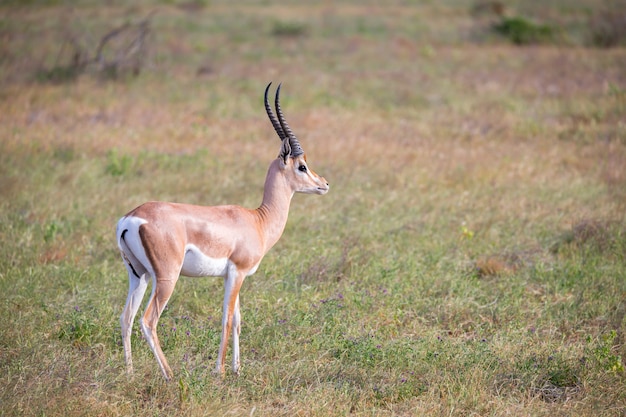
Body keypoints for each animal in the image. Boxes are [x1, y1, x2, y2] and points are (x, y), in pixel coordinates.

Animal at [116, 83, 326, 378]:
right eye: (302, 166)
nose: (324, 184)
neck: (257, 221)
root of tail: (130, 218)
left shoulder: (235, 276)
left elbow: (237, 319)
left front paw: (237, 369)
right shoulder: (236, 273)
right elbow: (226, 319)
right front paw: (221, 371)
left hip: (139, 276)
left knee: (126, 318)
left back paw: (130, 374)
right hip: (166, 278)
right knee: (148, 321)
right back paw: (170, 375)